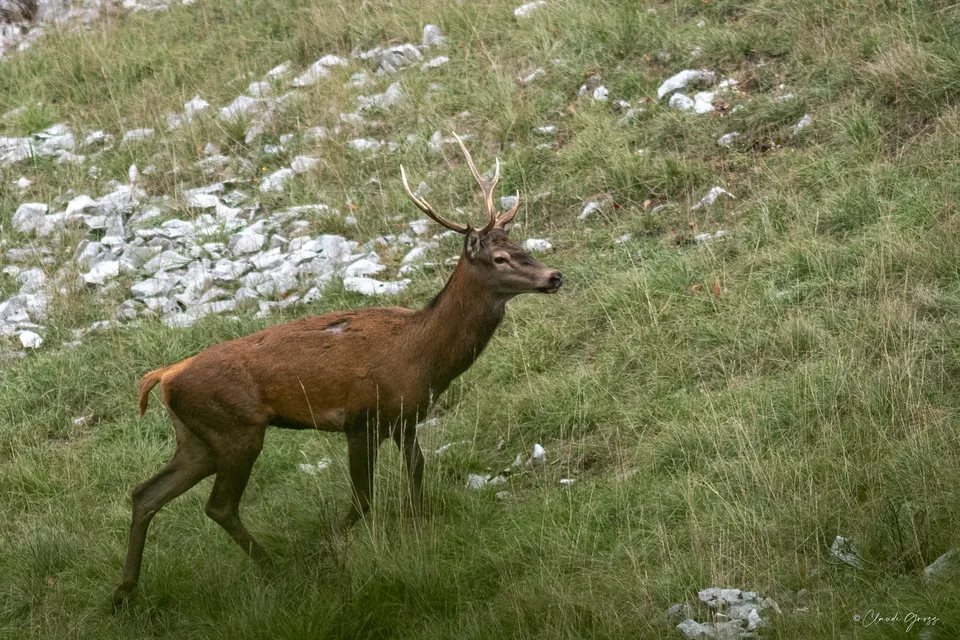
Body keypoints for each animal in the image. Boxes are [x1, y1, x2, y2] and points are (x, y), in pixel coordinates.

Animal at [111, 134, 564, 607]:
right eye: (500, 257)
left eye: (523, 246)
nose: (555, 275)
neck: (422, 357)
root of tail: (165, 376)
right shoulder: (360, 418)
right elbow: (363, 500)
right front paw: (326, 546)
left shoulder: (406, 418)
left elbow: (418, 474)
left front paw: (421, 531)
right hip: (236, 428)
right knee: (219, 505)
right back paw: (277, 568)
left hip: (198, 438)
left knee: (145, 493)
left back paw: (123, 592)